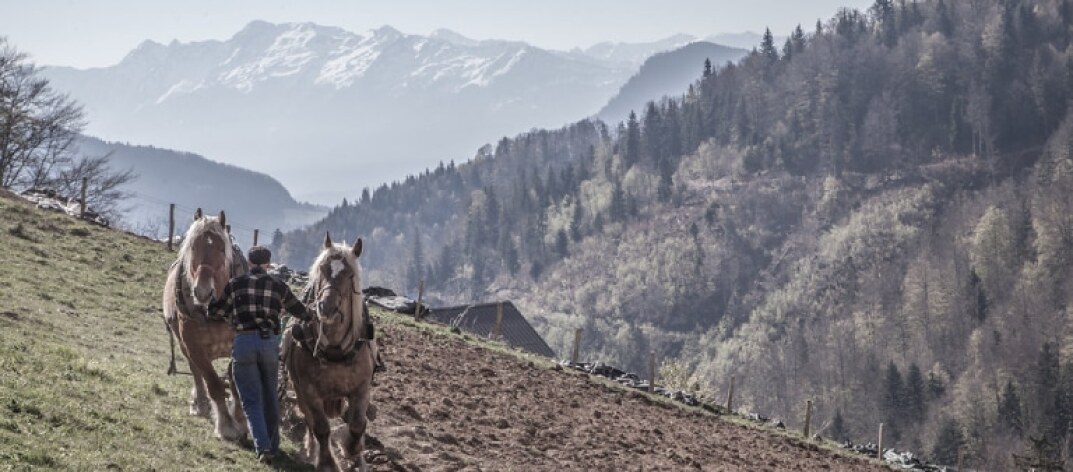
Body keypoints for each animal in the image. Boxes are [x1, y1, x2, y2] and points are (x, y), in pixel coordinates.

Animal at [162, 208, 250, 439]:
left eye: (221, 248)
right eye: (193, 246)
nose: (202, 292)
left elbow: (235, 381)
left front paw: (240, 419)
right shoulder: (192, 344)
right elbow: (213, 383)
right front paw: (227, 425)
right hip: (185, 344)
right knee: (197, 372)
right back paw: (200, 402)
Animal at [283, 233, 375, 472]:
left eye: (350, 274)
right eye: (322, 269)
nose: (326, 307)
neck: (335, 350)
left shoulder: (362, 388)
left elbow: (358, 424)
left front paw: (352, 449)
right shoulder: (308, 390)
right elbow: (321, 427)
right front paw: (327, 462)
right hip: (300, 391)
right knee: (309, 420)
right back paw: (311, 448)